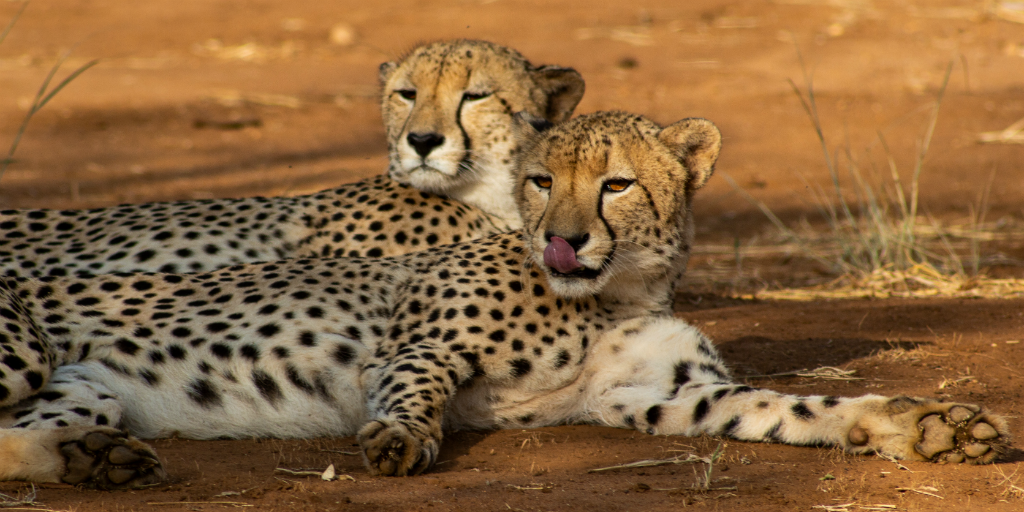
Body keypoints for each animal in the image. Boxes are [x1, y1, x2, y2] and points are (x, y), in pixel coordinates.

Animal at [0, 111, 1007, 487]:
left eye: (615, 184)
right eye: (537, 181)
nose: (563, 237)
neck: (615, 291)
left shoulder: (651, 395)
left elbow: (789, 408)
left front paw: (922, 425)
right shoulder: (416, 345)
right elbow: (414, 391)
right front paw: (399, 441)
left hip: (81, 384)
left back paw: (89, 457)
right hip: (29, 349)